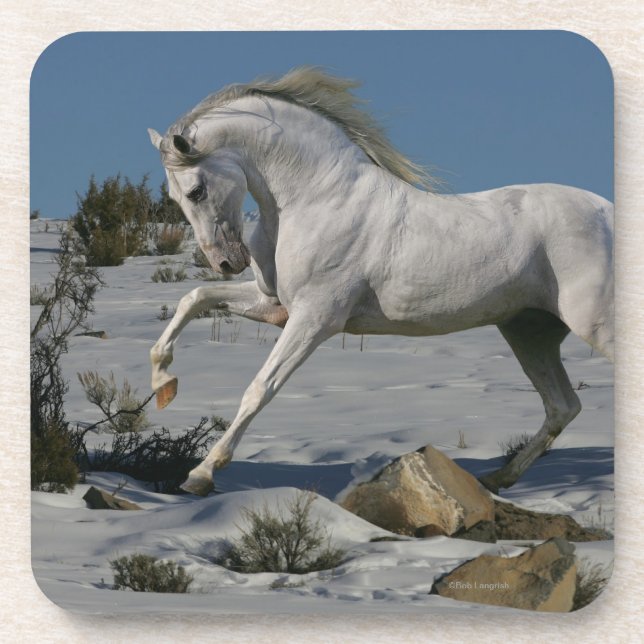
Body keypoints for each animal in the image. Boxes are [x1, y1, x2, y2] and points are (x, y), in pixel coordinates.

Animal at [147, 67, 614, 497]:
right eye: (175, 198)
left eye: (196, 190)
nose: (226, 261)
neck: (316, 199)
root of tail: (607, 212)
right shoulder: (273, 304)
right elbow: (195, 298)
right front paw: (163, 384)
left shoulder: (316, 318)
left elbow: (259, 388)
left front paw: (200, 475)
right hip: (528, 331)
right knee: (562, 406)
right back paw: (497, 479)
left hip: (593, 324)